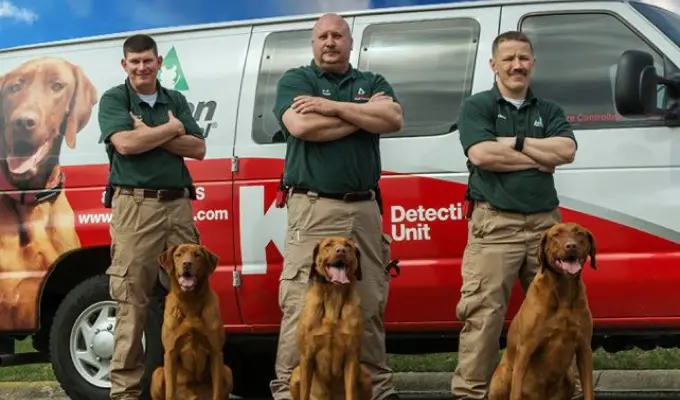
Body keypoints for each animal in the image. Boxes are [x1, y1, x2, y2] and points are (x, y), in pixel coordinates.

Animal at [151, 242, 234, 398]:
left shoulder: (215, 352)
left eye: (197, 255)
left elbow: (217, 392)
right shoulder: (170, 353)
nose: (187, 264)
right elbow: (170, 392)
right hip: (157, 373)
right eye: (178, 255)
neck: (190, 302)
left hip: (227, 371)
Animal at [286, 236, 372, 400]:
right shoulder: (307, 355)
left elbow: (351, 392)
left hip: (365, 374)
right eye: (328, 245)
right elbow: (304, 392)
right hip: (295, 374)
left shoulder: (351, 355)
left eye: (348, 245)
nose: (341, 251)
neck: (334, 296)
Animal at [488, 222, 596, 400]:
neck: (563, 291)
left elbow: (589, 391)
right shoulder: (525, 349)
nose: (571, 246)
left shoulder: (584, 348)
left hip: (569, 376)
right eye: (556, 235)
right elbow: (516, 391)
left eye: (579, 233)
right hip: (502, 375)